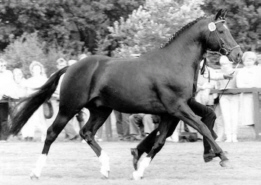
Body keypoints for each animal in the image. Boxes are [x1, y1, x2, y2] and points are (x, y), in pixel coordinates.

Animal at [10, 9, 242, 180]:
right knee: (51, 133)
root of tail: (71, 66)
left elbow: (161, 140)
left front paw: (139, 171)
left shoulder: (172, 111)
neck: (174, 62)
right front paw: (223, 156)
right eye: (222, 31)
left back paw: (105, 168)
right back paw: (35, 172)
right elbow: (202, 127)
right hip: (69, 108)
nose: (238, 54)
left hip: (101, 110)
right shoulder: (178, 108)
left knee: (87, 132)